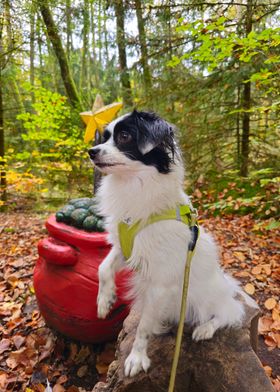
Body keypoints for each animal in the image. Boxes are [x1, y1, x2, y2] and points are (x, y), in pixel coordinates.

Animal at [88, 109, 256, 376]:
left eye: (124, 136)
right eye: (104, 138)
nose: (91, 152)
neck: (134, 185)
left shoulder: (160, 283)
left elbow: (143, 326)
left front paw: (136, 357)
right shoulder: (126, 248)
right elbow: (103, 268)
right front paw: (105, 301)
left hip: (206, 298)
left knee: (228, 312)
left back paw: (205, 329)